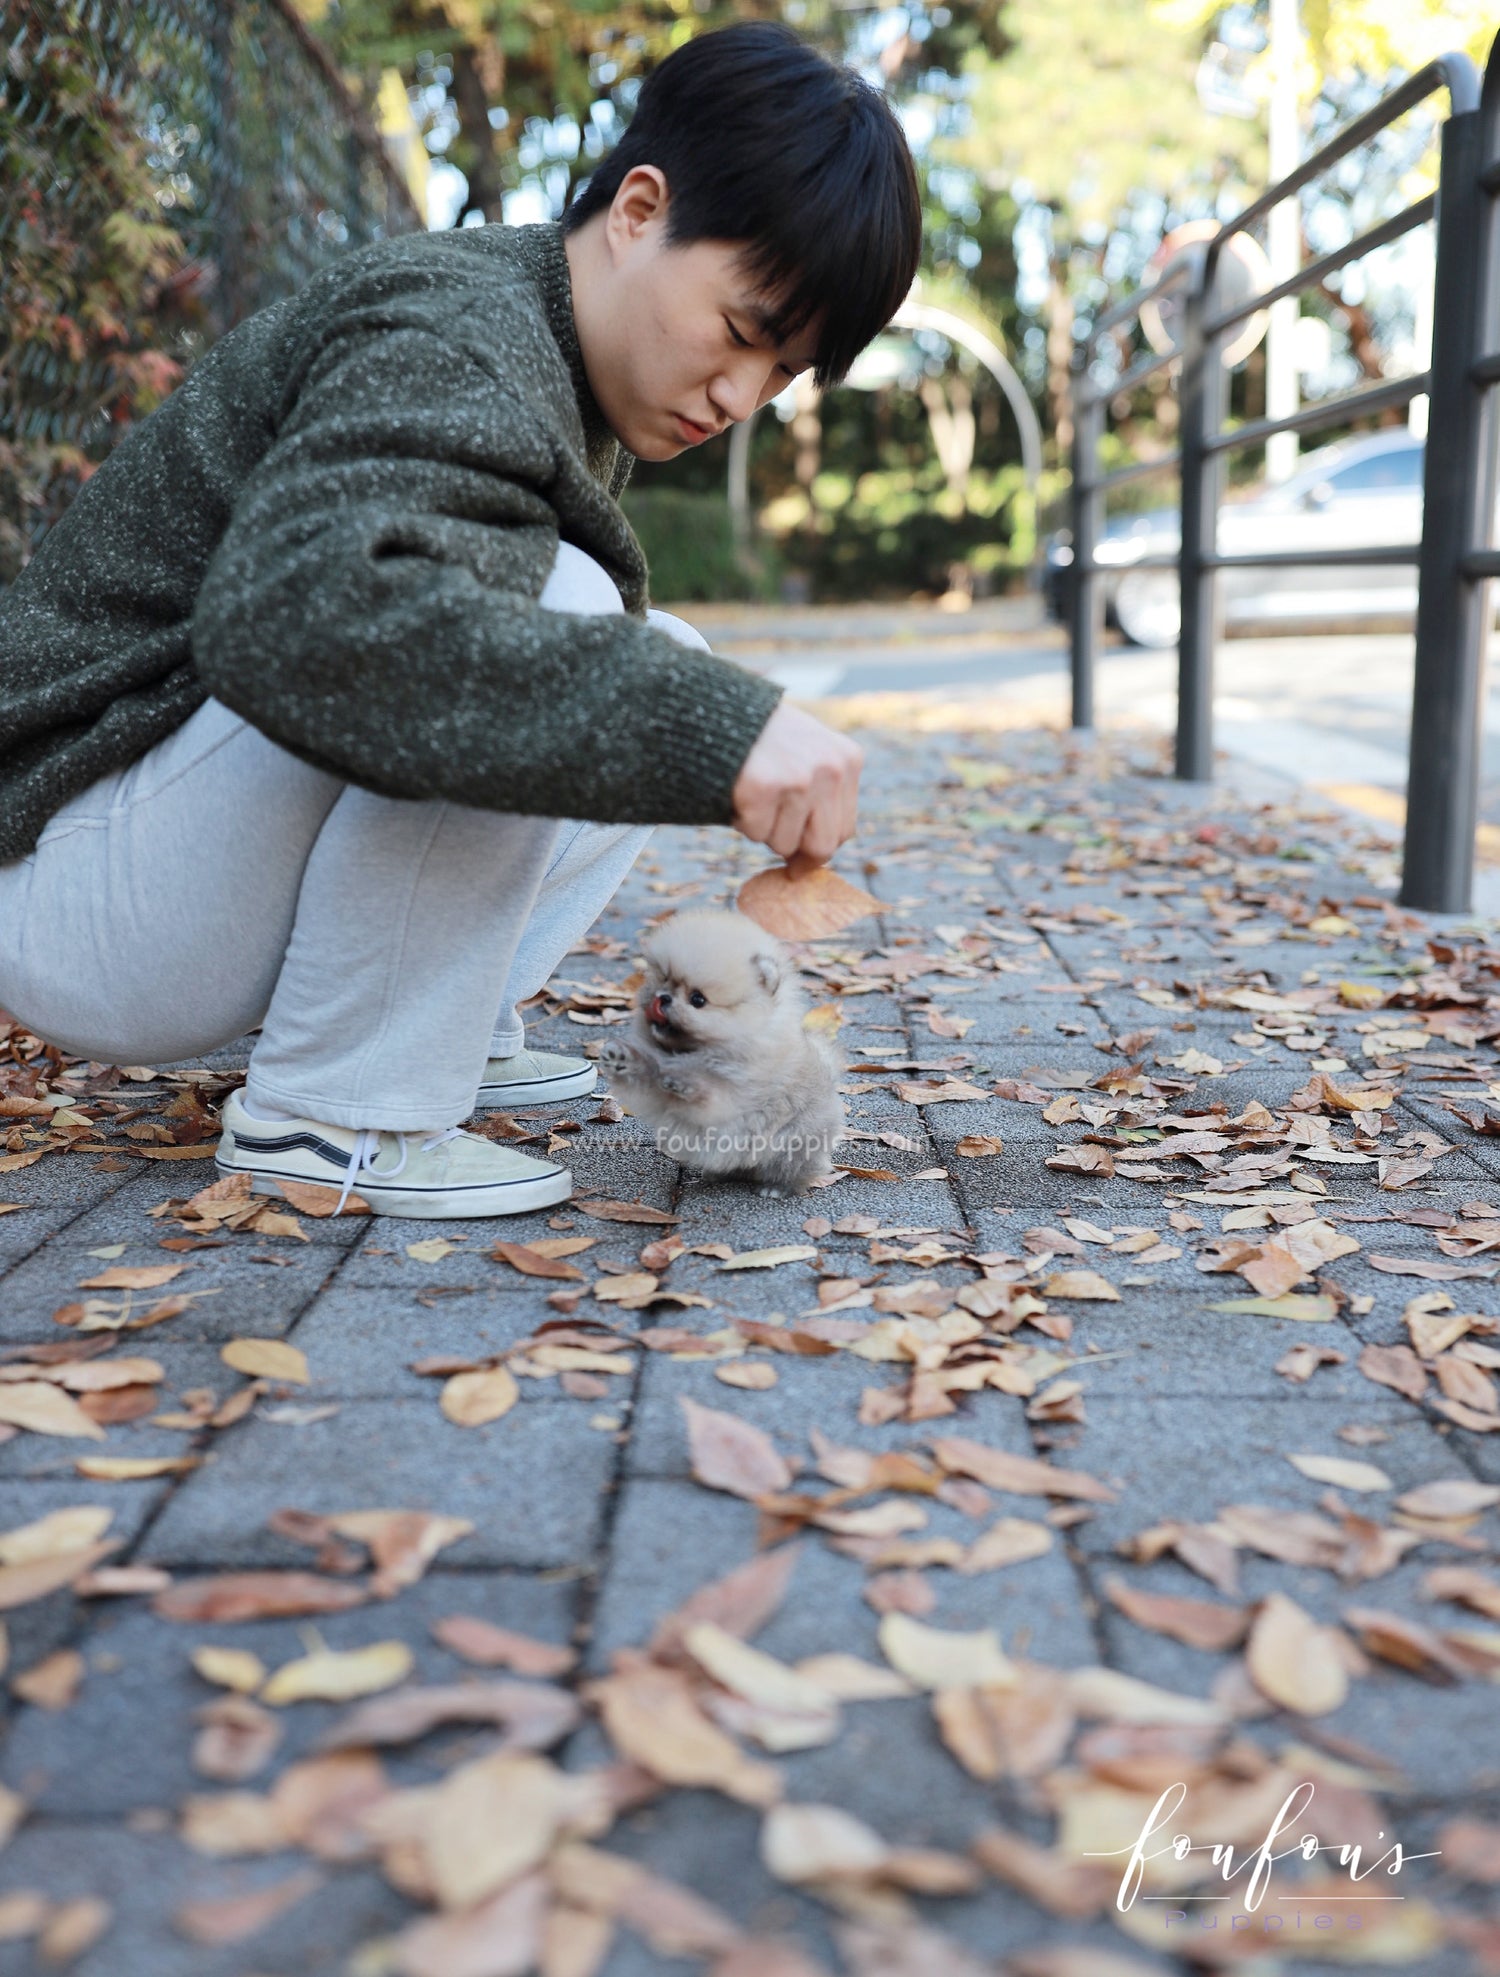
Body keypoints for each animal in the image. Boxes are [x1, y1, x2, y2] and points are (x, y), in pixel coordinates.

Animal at [604, 905, 849, 1186]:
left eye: (697, 999)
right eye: (664, 980)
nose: (662, 998)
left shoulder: (734, 1096)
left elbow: (709, 1091)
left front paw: (684, 1080)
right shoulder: (657, 1088)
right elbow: (646, 1072)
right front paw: (622, 1057)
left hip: (796, 1138)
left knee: (793, 1165)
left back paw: (777, 1187)